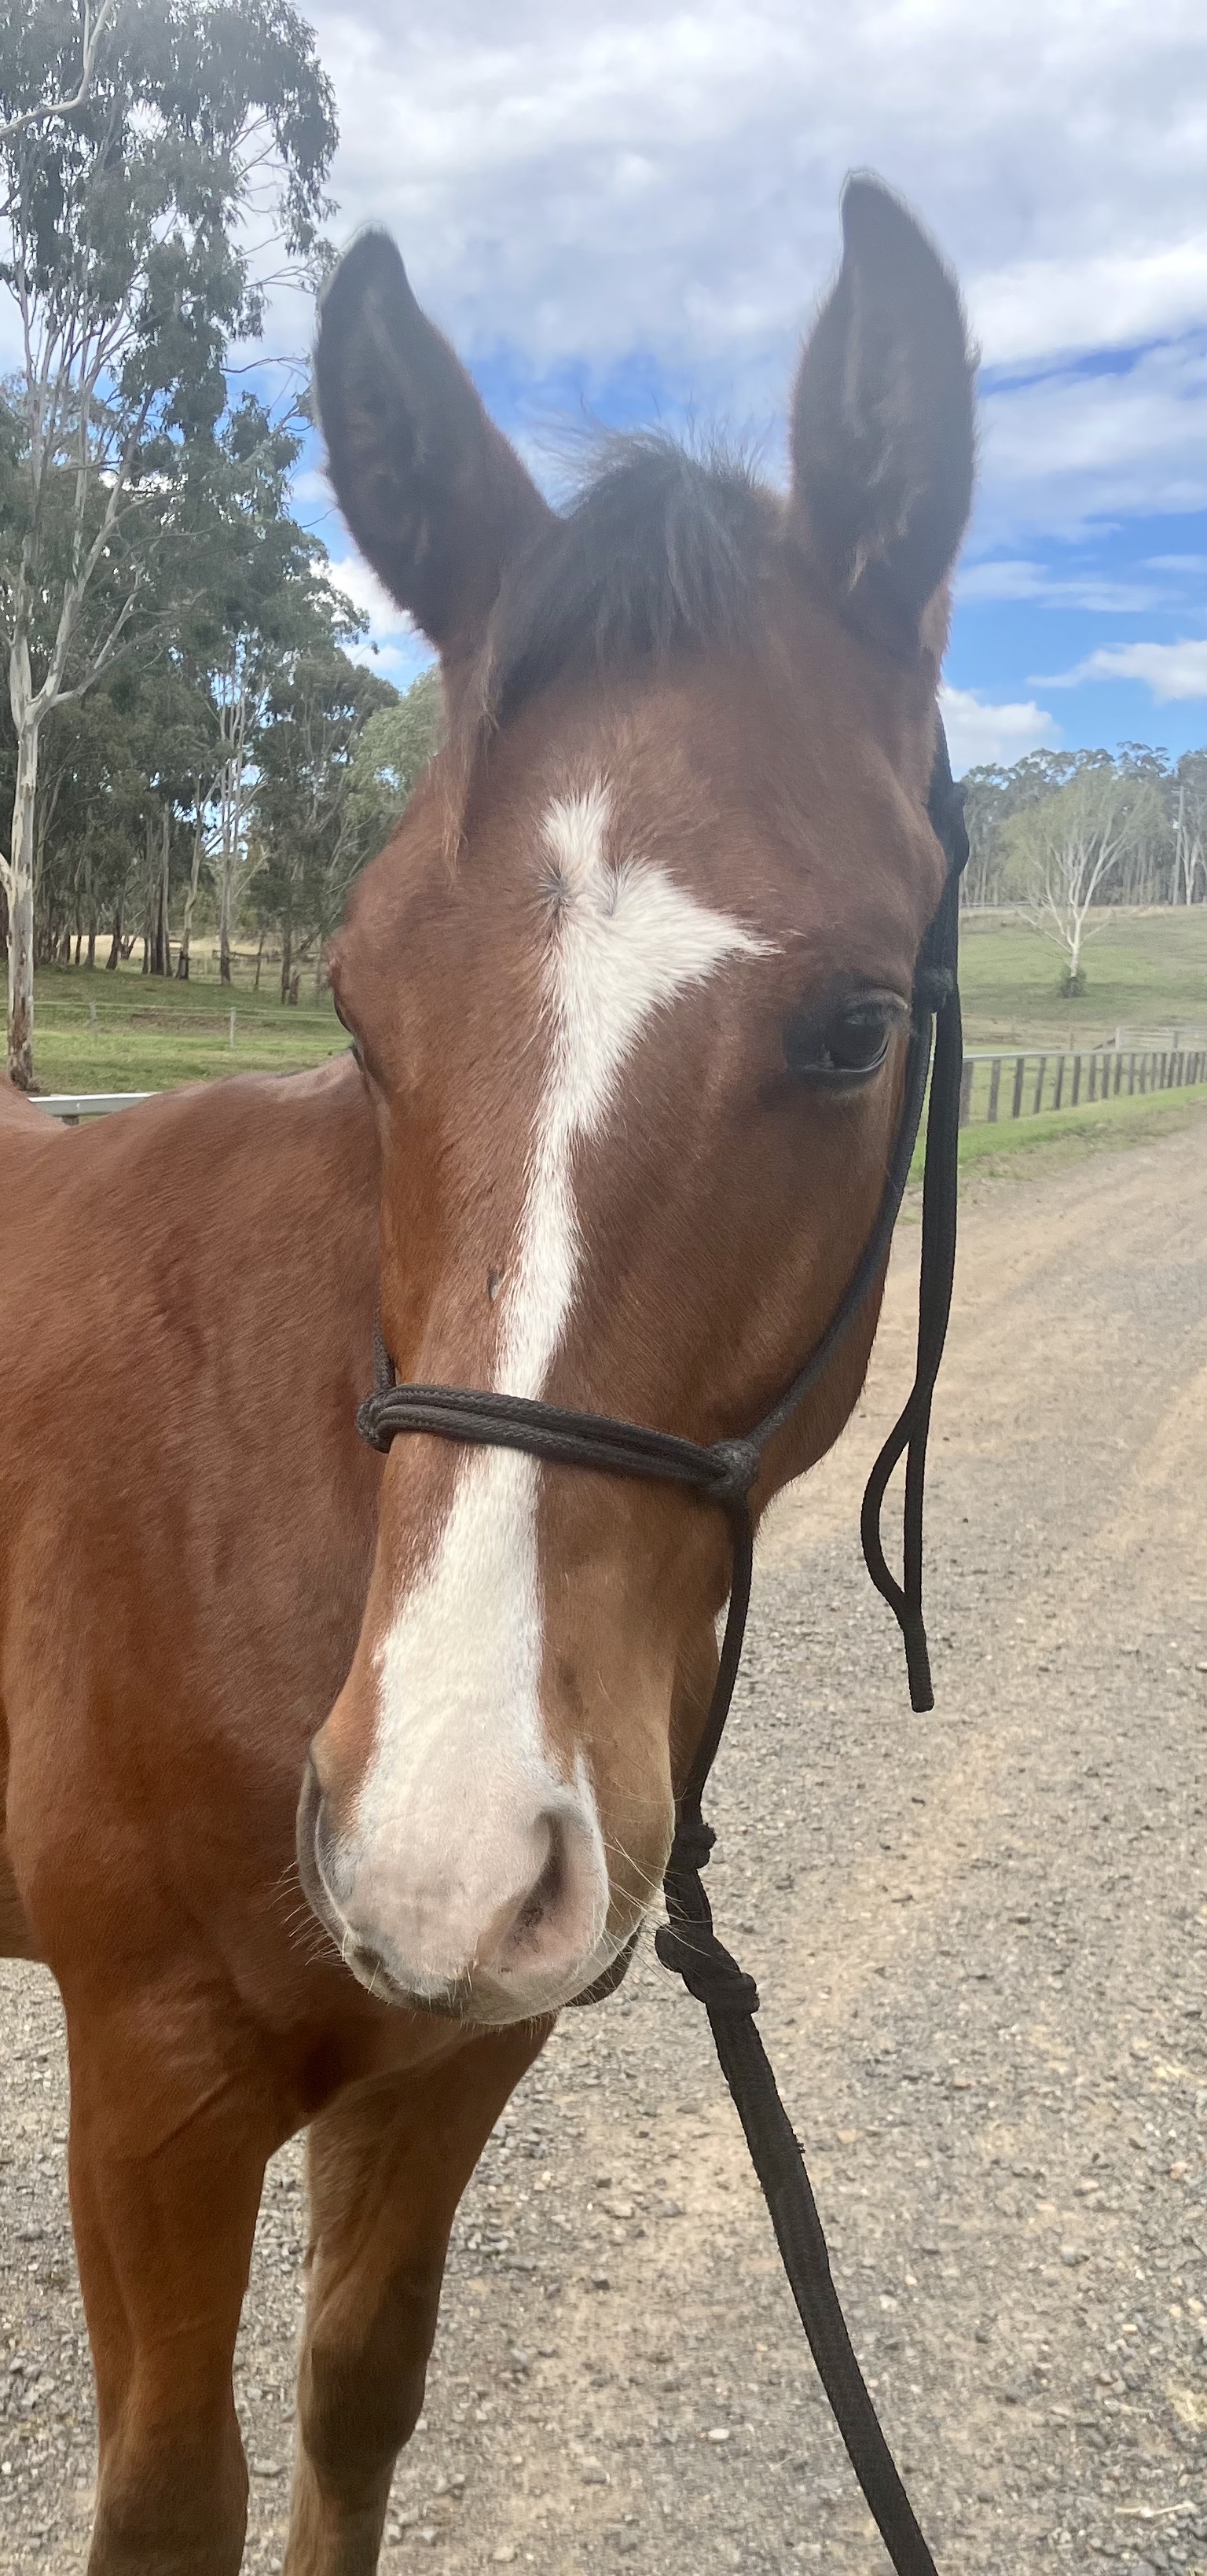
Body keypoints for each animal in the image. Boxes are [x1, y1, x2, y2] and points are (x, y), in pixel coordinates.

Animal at [0, 175, 974, 2573]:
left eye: (852, 1023)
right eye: (358, 997)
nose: (435, 1834)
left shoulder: (451, 2061)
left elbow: (356, 2404)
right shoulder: (152, 2092)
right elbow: (173, 2499)